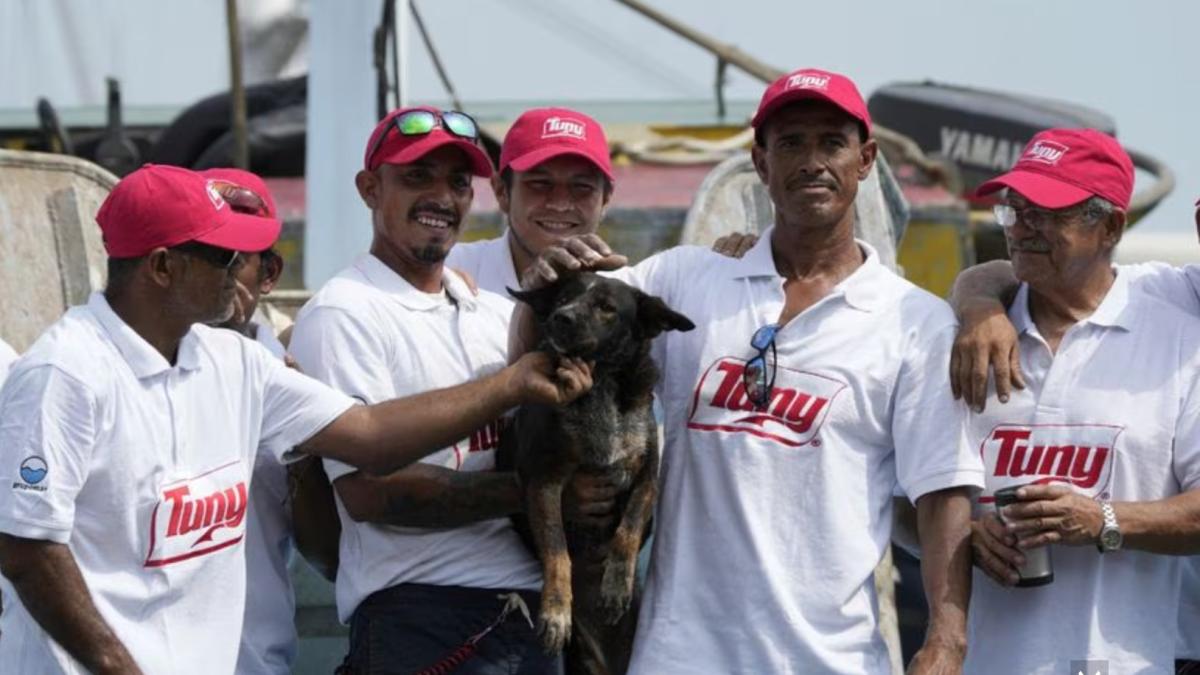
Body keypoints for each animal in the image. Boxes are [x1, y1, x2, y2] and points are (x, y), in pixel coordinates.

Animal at [501, 270, 696, 667]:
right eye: (563, 298)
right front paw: (556, 612)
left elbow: (629, 529)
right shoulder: (543, 482)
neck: (600, 383)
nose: (561, 317)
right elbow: (557, 550)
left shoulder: (647, 477)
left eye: (607, 307)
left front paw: (616, 586)